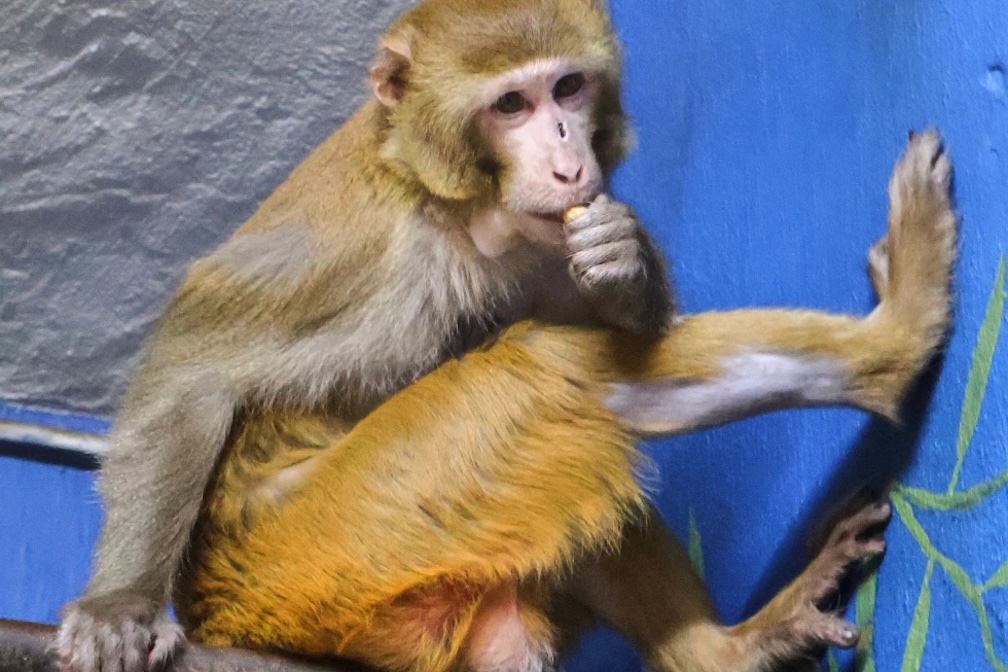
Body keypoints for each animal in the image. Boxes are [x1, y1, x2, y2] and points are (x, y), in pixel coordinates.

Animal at [53, 0, 956, 670]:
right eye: (512, 105)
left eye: (569, 89)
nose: (566, 154)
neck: (461, 210)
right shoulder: (363, 255)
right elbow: (192, 373)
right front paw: (118, 608)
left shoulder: (544, 238)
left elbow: (615, 316)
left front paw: (625, 259)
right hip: (322, 551)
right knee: (551, 369)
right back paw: (900, 341)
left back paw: (723, 651)